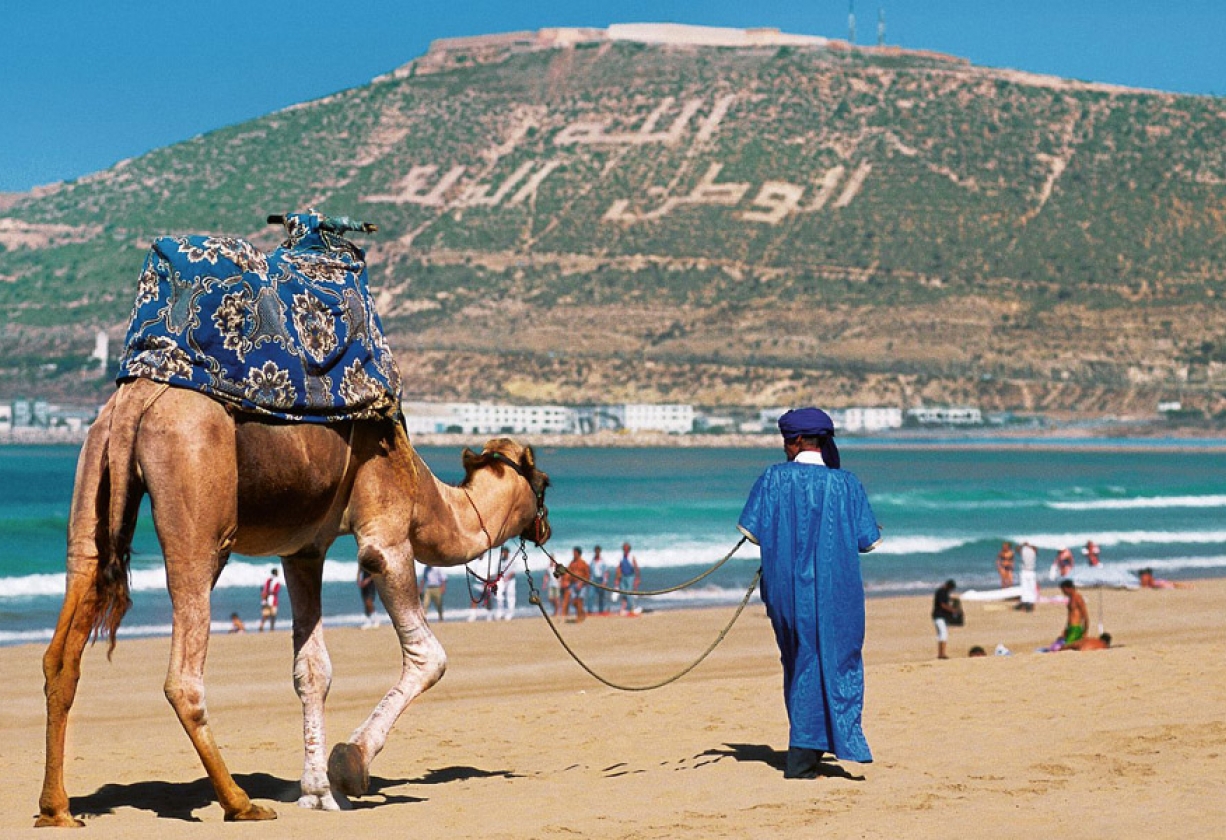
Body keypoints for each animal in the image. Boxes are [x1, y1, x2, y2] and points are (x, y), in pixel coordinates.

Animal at [34, 380, 551, 824]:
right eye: (543, 481)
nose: (544, 527)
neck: (426, 497)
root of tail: (133, 403)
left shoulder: (304, 552)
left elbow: (312, 672)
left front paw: (318, 792)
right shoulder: (385, 536)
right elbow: (430, 656)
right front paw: (350, 765)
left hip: (93, 477)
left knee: (64, 645)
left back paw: (56, 809)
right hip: (195, 500)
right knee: (183, 674)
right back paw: (239, 803)